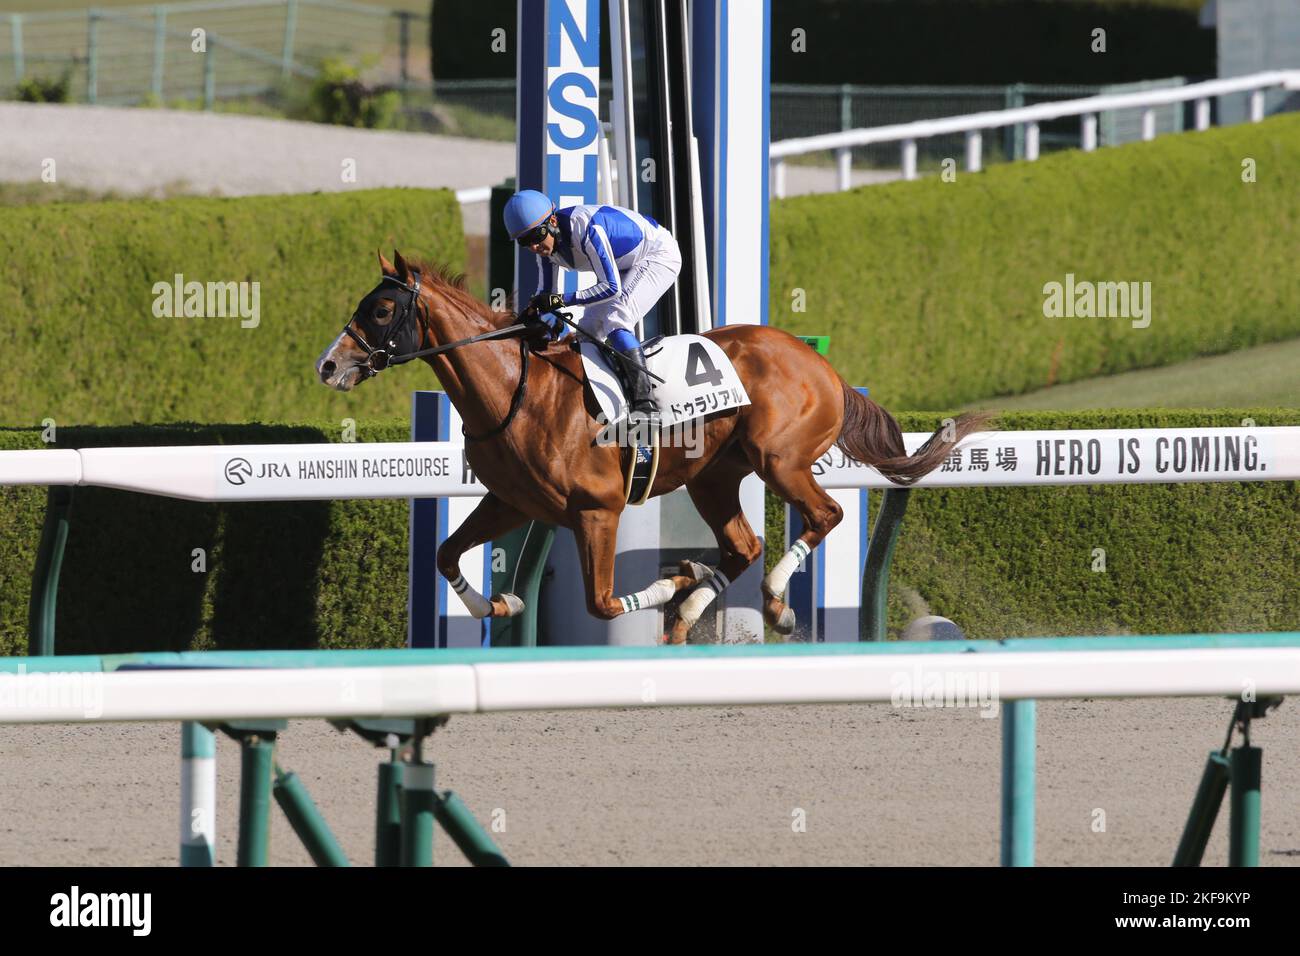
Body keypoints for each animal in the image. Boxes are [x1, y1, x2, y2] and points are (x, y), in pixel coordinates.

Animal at [319, 252, 987, 642]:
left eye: (382, 308)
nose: (329, 365)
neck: (519, 391)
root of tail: (821, 365)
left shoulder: (597, 509)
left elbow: (602, 602)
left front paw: (668, 587)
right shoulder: (511, 501)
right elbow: (445, 554)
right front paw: (499, 605)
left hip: (780, 459)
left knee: (825, 514)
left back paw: (773, 604)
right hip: (713, 477)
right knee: (744, 545)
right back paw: (695, 610)